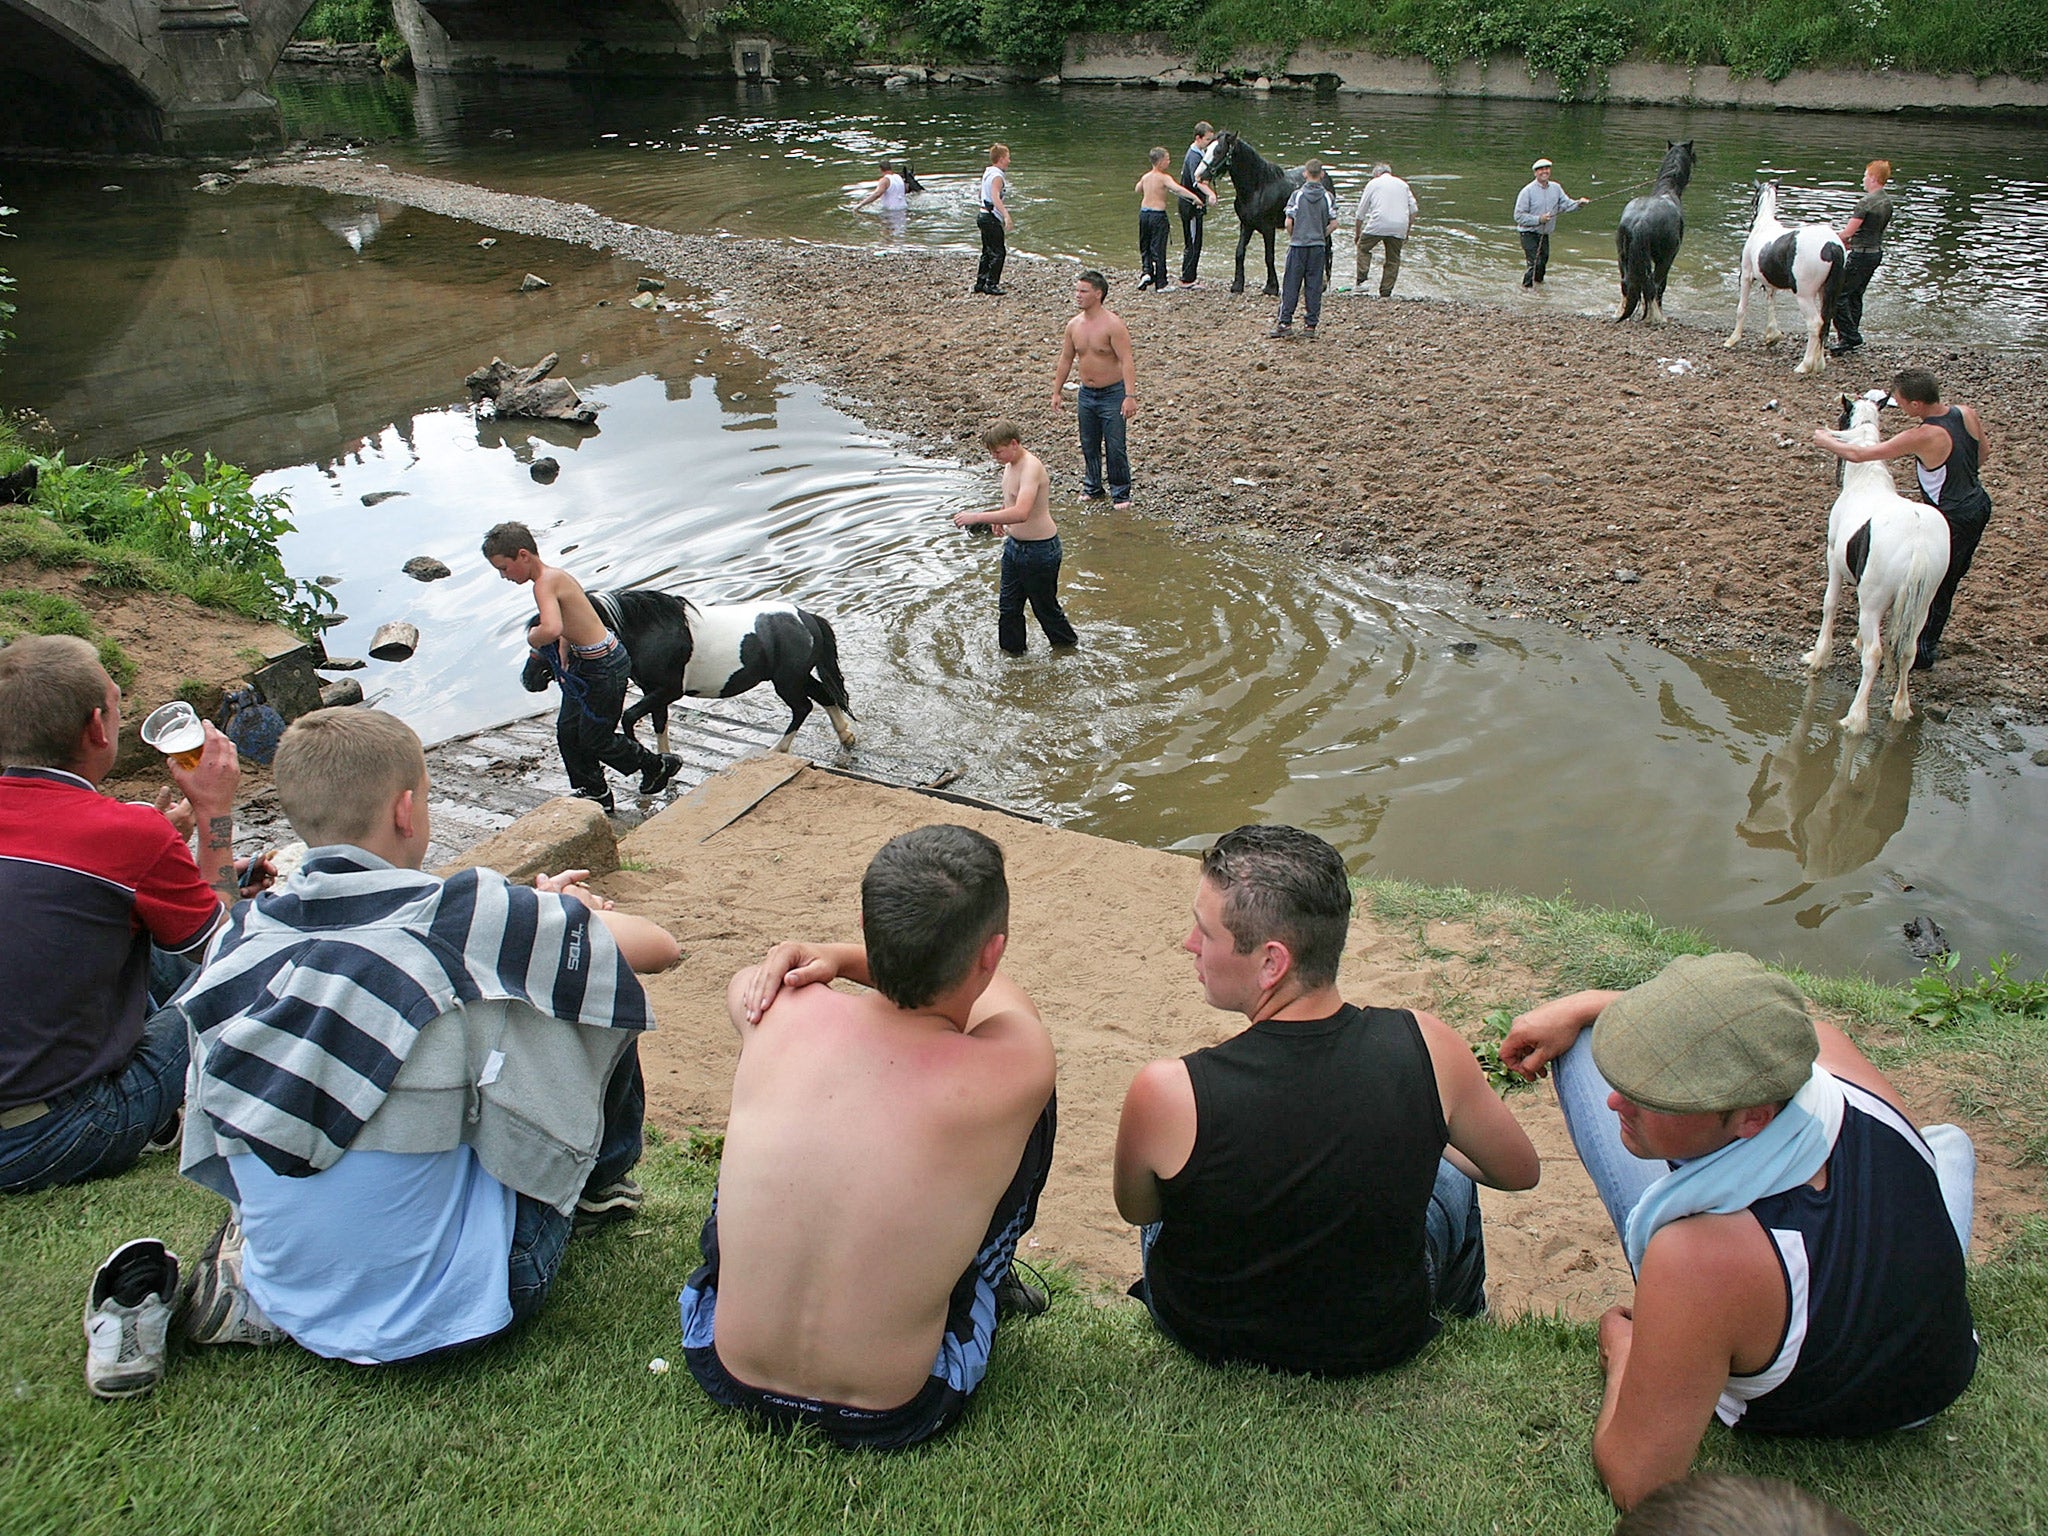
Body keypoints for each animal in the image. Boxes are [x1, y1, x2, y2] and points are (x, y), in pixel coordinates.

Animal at [524, 589, 860, 757]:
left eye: (544, 638)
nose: (529, 679)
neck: (651, 631)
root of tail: (806, 617)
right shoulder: (653, 693)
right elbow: (659, 723)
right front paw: (665, 761)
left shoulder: (666, 691)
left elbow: (630, 717)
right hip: (796, 676)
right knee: (825, 696)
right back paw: (846, 737)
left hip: (787, 682)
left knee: (803, 707)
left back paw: (779, 748)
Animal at [1196, 131, 1335, 299]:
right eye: (1206, 149)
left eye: (1218, 151)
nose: (1198, 175)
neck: (1257, 189)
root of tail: (1325, 175)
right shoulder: (1246, 225)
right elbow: (1239, 252)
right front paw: (1237, 285)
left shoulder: (1268, 228)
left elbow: (1269, 256)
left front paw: (1271, 287)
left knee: (1326, 249)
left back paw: (1322, 284)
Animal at [1613, 142, 1695, 327]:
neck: (1667, 192)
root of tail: (1639, 222)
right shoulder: (1667, 258)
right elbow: (1661, 286)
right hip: (1664, 259)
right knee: (1653, 285)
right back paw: (1656, 316)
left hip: (1623, 257)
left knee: (1626, 284)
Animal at [1720, 182, 1851, 376]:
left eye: (1753, 198)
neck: (1763, 225)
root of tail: (1831, 246)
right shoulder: (1769, 283)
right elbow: (1771, 303)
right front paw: (1772, 336)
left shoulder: (1746, 276)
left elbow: (1741, 308)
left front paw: (1732, 339)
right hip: (1827, 292)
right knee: (1825, 322)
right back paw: (1819, 364)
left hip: (1805, 296)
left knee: (1815, 324)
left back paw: (1805, 365)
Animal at [1810, 393, 1949, 737]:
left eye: (1840, 418)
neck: (1866, 481)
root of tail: (1918, 544)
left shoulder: (1833, 558)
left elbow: (1830, 603)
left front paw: (1818, 656)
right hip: (1923, 601)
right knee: (1908, 650)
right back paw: (1901, 708)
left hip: (1873, 600)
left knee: (1876, 655)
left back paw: (1855, 718)